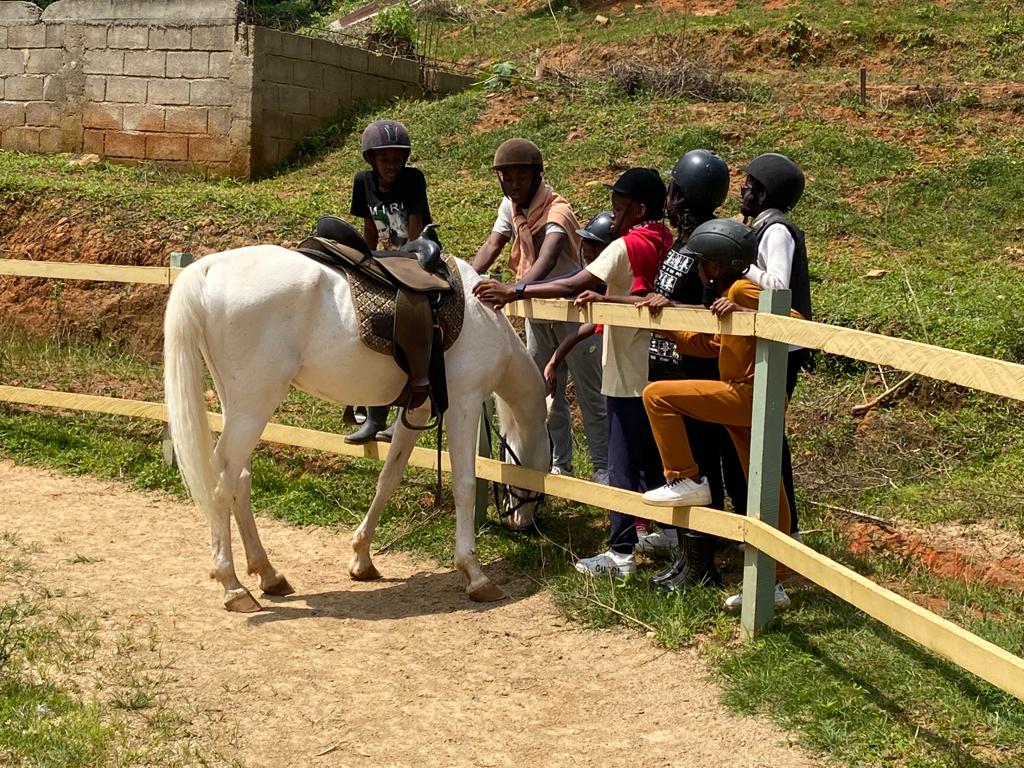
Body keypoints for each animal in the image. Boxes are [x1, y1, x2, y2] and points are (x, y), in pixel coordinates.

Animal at [163, 244, 550, 612]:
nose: (526, 523)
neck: (484, 317)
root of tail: (209, 267)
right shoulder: (464, 405)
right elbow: (465, 486)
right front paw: (475, 573)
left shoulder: (417, 411)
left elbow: (388, 478)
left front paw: (362, 558)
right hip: (253, 405)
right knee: (221, 484)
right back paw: (232, 586)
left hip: (240, 407)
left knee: (238, 482)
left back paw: (268, 574)